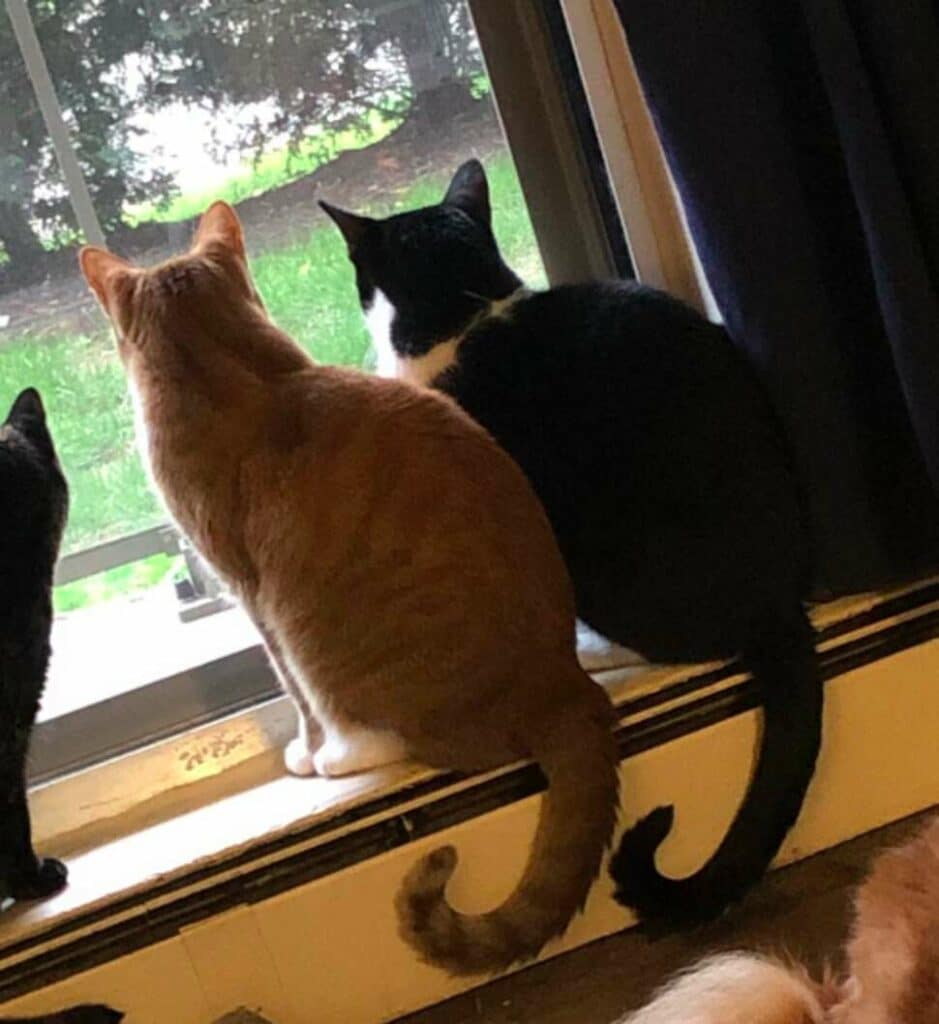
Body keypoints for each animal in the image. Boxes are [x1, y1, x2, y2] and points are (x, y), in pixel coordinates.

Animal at [76, 201, 618, 974]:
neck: (228, 366)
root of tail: (565, 687)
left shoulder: (253, 596)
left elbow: (294, 698)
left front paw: (303, 753)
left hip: (317, 640)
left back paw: (337, 756)